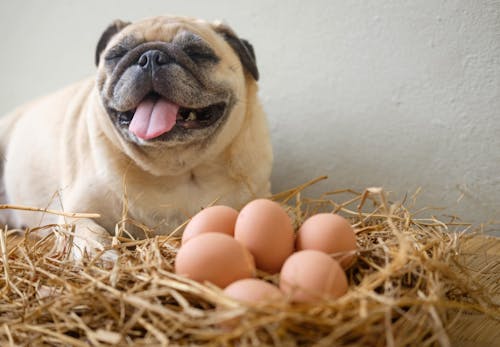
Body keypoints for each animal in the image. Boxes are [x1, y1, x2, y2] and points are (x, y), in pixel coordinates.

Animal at [0, 16, 272, 260]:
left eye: (197, 53)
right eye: (117, 55)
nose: (151, 57)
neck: (178, 170)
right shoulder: (76, 212)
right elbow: (86, 229)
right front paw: (98, 252)